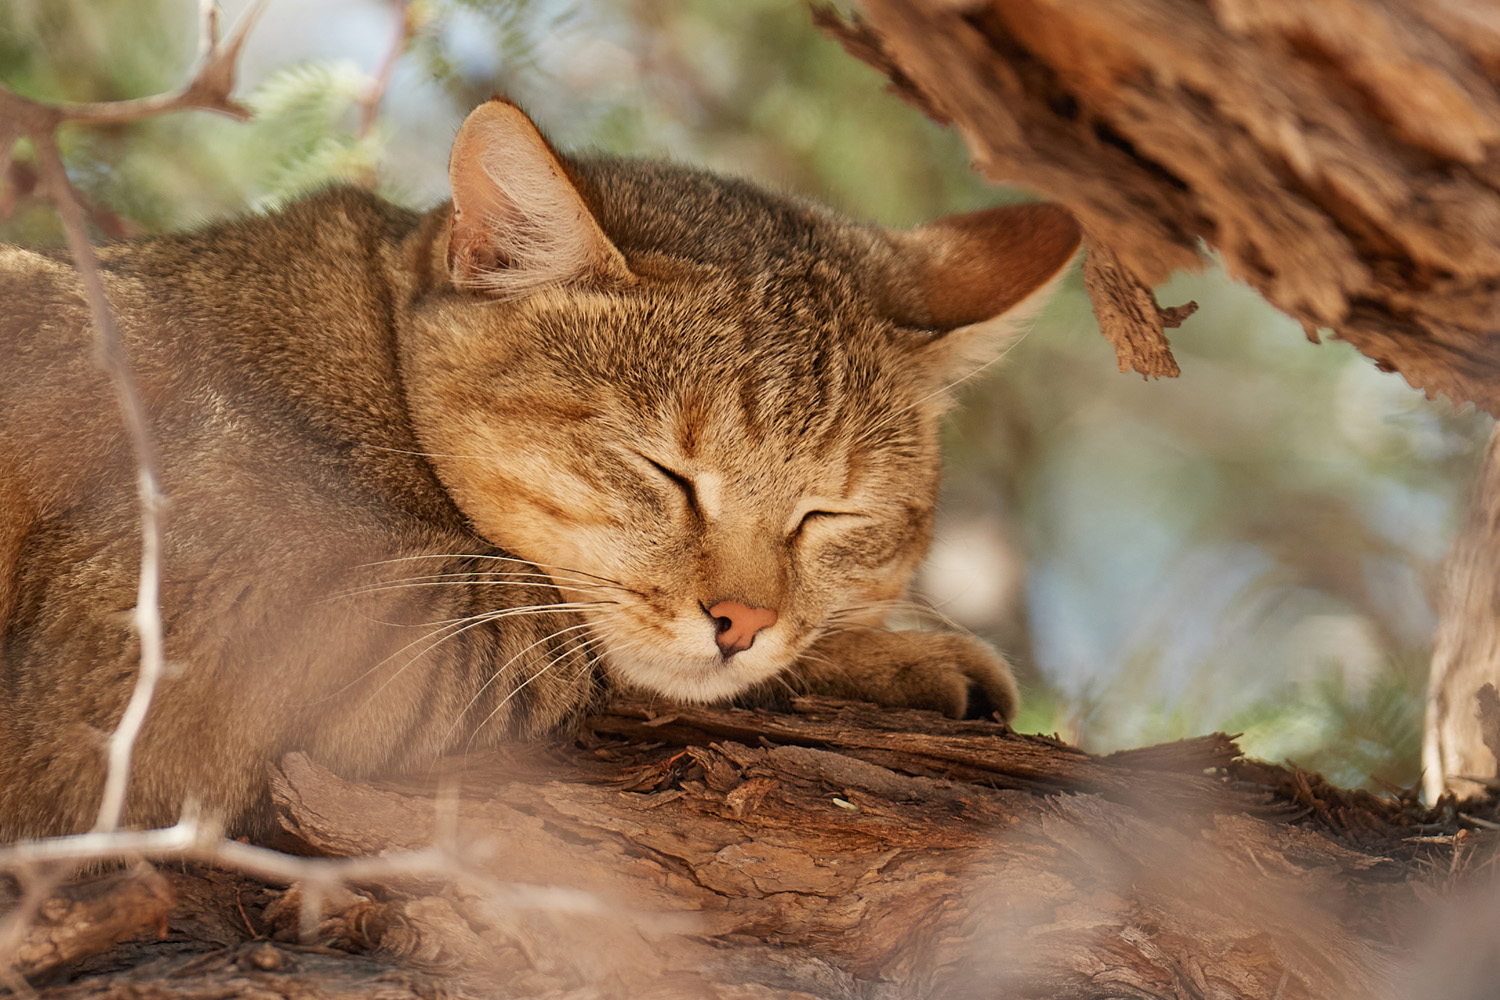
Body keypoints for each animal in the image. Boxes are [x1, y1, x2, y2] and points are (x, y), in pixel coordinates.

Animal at [0, 99, 1080, 839]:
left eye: (829, 515)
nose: (742, 620)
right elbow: (590, 645)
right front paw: (905, 657)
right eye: (665, 472)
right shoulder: (228, 649)